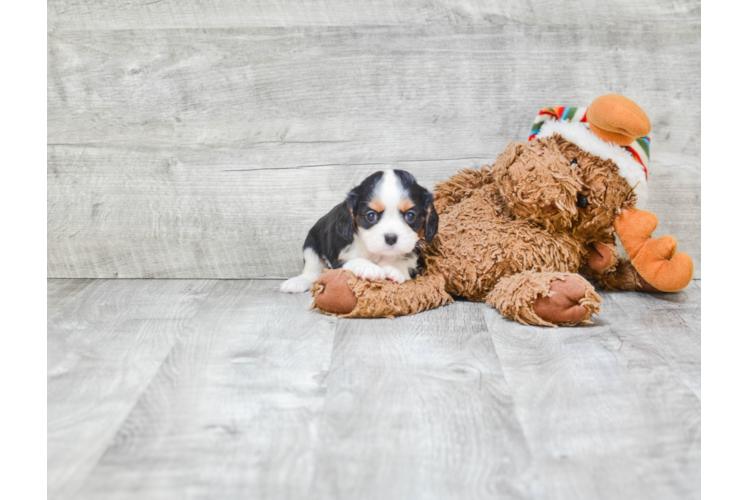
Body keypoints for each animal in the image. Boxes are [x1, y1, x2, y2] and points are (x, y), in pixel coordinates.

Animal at [284, 170, 442, 292]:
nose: (391, 238)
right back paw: (296, 282)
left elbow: (406, 261)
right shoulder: (338, 259)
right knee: (312, 272)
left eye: (410, 215)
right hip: (310, 246)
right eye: (371, 216)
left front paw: (395, 268)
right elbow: (353, 260)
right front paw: (369, 268)